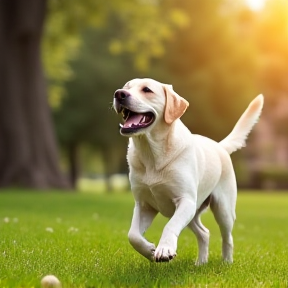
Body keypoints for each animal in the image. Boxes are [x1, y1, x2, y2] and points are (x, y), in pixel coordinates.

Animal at [113, 78, 264, 264]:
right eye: (126, 87)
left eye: (147, 90)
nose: (119, 94)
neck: (152, 154)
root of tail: (219, 146)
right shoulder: (143, 204)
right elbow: (132, 235)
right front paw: (149, 250)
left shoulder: (185, 200)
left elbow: (170, 226)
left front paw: (164, 249)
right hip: (194, 212)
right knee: (204, 233)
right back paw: (201, 263)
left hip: (223, 209)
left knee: (227, 237)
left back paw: (226, 263)